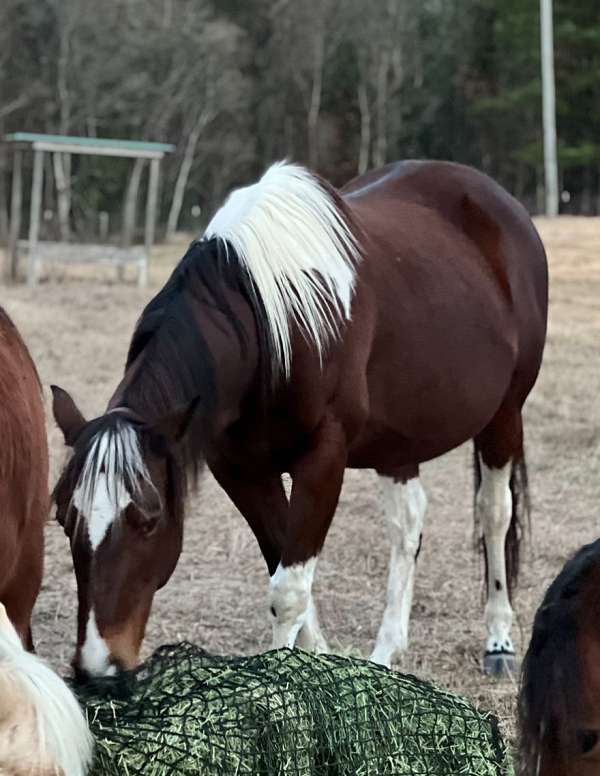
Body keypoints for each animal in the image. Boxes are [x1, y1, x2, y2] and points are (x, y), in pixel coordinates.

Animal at [51, 159, 548, 680]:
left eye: (148, 521)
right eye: (64, 518)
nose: (97, 666)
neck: (269, 325)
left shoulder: (323, 460)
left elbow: (288, 591)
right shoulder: (241, 470)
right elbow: (284, 565)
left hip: (504, 414)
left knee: (494, 513)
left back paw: (498, 642)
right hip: (397, 442)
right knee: (408, 523)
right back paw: (387, 652)